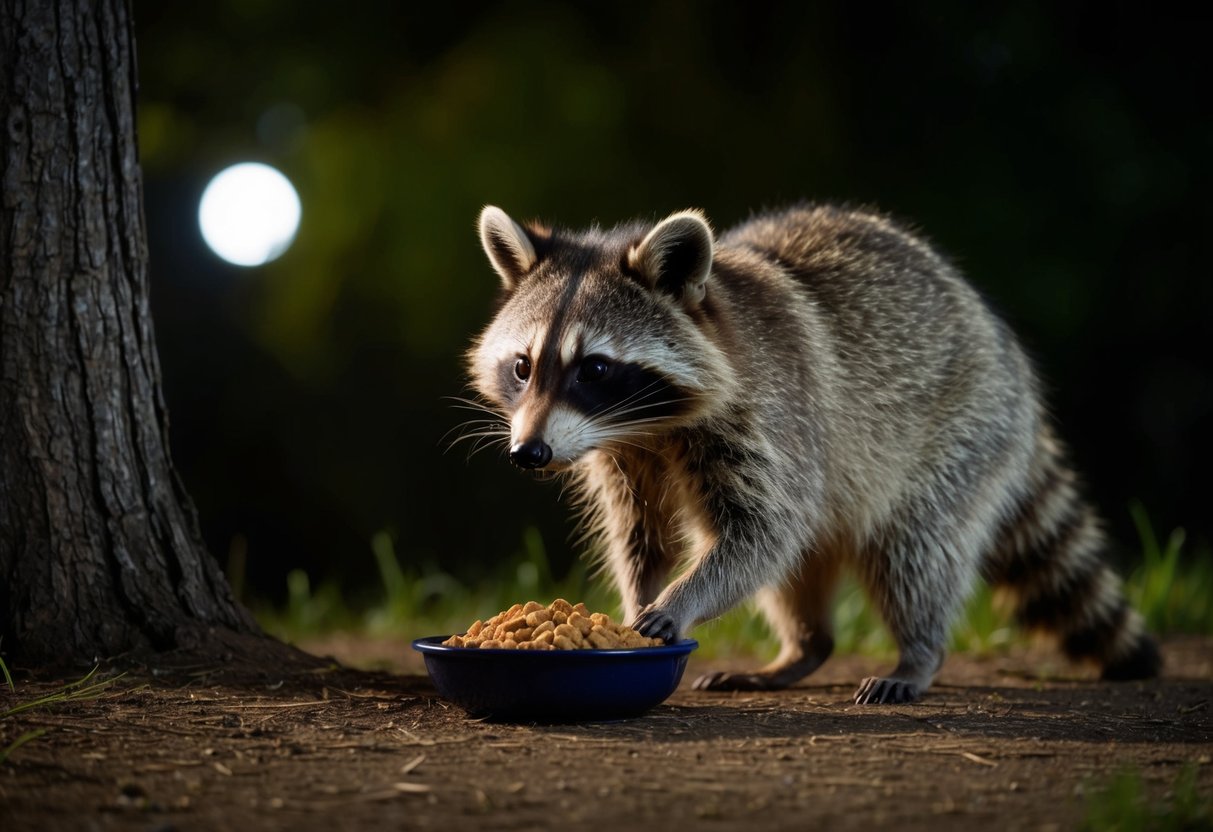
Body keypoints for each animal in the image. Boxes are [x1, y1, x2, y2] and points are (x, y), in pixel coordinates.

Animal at [466, 203, 1161, 704]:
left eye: (595, 368)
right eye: (523, 366)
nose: (529, 452)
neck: (650, 426)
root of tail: (1003, 346)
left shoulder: (772, 416)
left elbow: (763, 532)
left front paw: (678, 601)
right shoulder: (622, 455)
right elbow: (643, 534)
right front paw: (640, 596)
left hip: (964, 426)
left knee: (913, 548)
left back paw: (919, 652)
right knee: (803, 569)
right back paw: (805, 648)